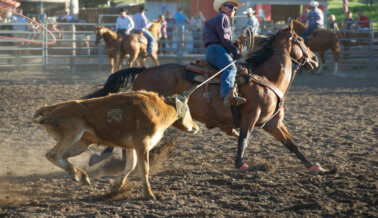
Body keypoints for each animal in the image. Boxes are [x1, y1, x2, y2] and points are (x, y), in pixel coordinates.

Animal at [33, 90, 199, 199]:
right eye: (189, 109)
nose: (196, 127)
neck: (158, 109)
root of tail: (49, 109)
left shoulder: (132, 147)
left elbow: (130, 167)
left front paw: (117, 187)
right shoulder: (142, 144)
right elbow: (144, 168)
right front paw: (150, 194)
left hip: (81, 143)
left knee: (62, 156)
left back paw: (81, 176)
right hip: (73, 135)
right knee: (53, 155)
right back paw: (76, 174)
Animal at [87, 23, 336, 175]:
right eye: (301, 40)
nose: (314, 59)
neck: (266, 78)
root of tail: (144, 71)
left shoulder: (273, 123)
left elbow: (292, 144)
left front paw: (316, 167)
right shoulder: (251, 115)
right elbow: (243, 138)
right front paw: (240, 164)